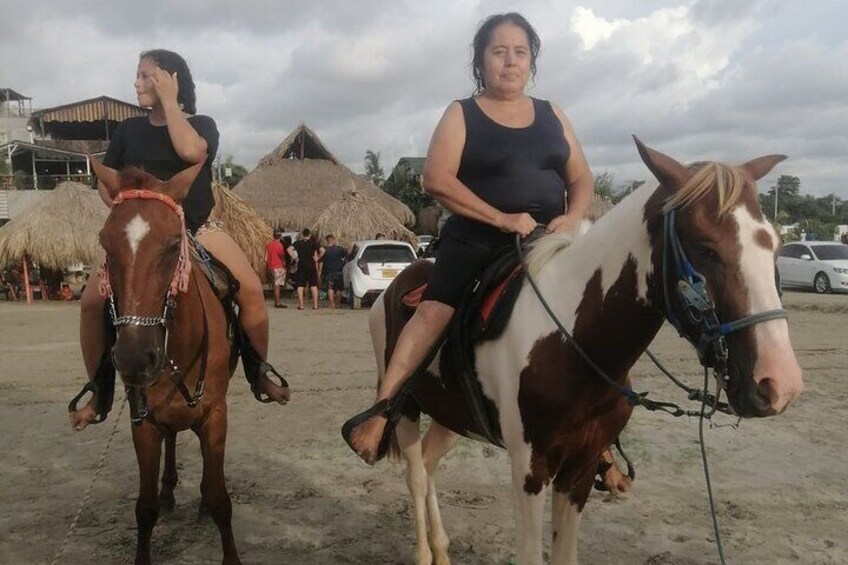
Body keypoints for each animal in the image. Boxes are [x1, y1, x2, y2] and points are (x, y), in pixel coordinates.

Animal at [93, 159, 245, 564]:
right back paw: (169, 490)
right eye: (104, 243)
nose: (133, 357)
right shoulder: (143, 421)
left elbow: (222, 500)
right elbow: (144, 508)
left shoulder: (215, 416)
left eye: (174, 244)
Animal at [370, 138, 800, 564]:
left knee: (429, 463)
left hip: (451, 415)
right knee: (415, 473)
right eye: (705, 247)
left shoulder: (580, 469)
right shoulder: (530, 469)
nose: (779, 384)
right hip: (406, 409)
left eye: (776, 245)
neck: (570, 342)